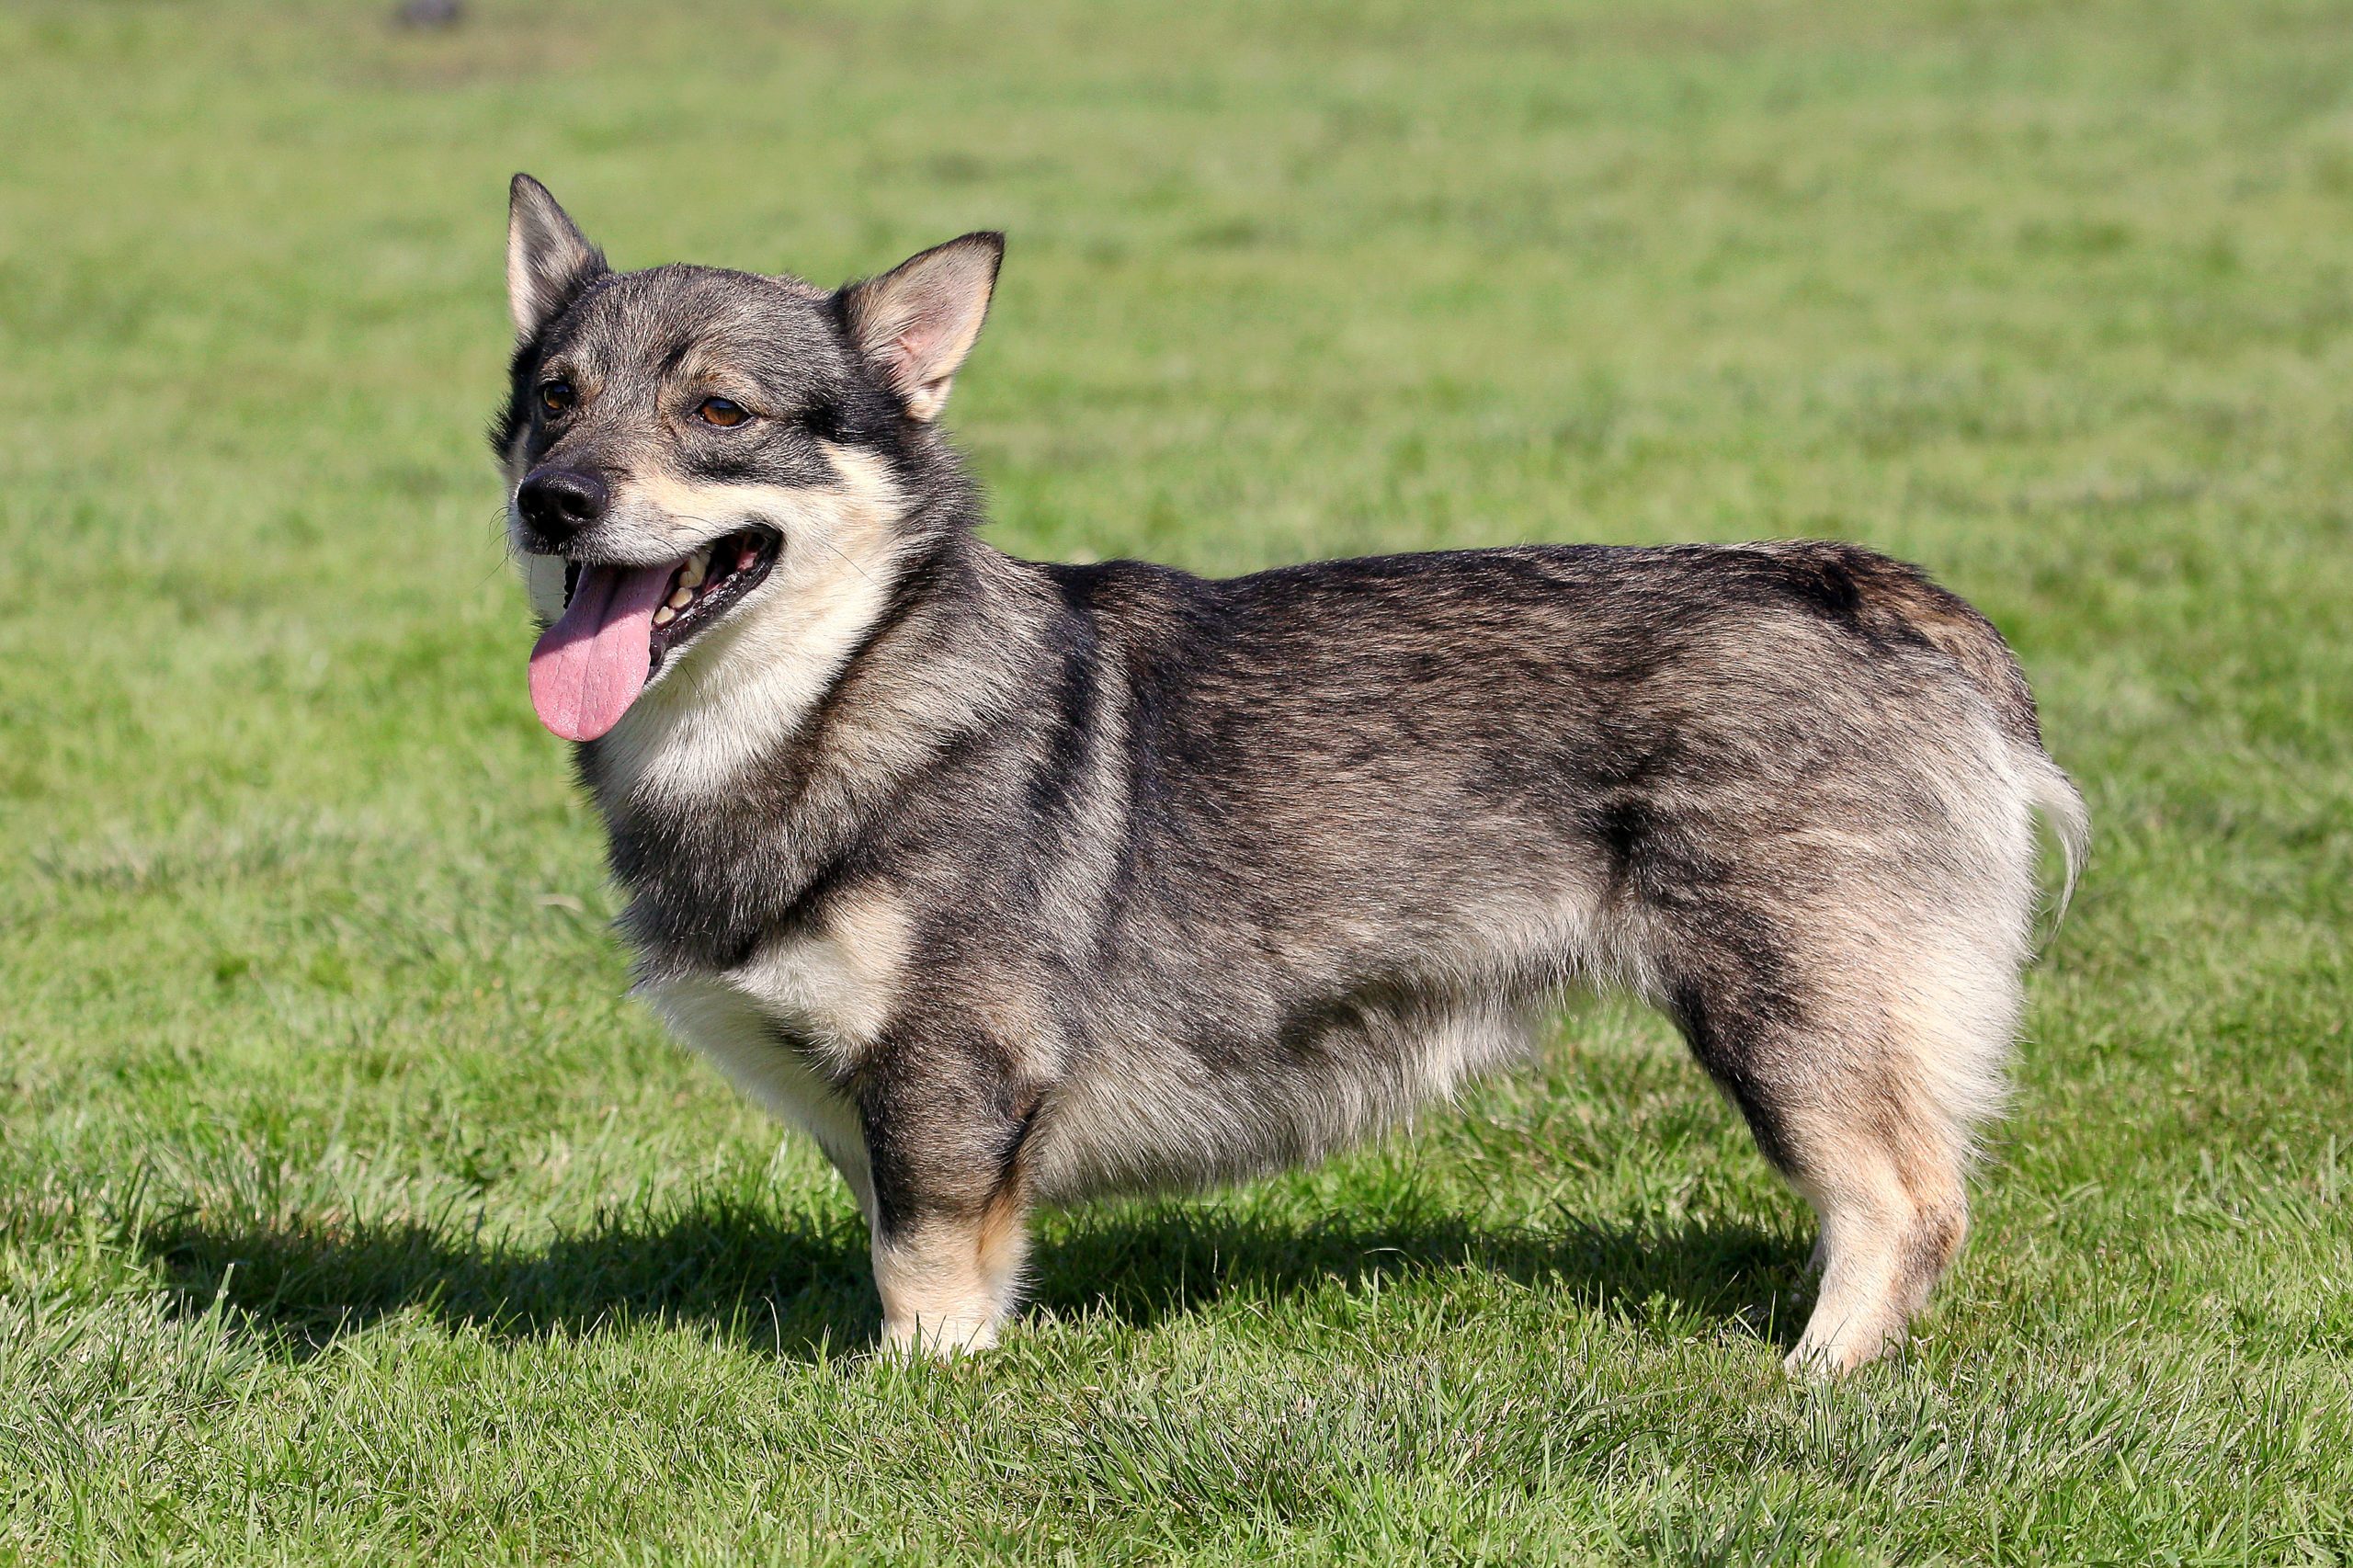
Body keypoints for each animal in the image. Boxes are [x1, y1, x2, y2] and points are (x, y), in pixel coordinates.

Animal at [492, 174, 2080, 1365]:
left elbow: (926, 1279)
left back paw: (1813, 1376)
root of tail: (1865, 591)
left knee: (1904, 1203)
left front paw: (918, 1399)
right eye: (554, 397)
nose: (551, 499)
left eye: (719, 412)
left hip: (1787, 1006)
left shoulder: (950, 1082)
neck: (841, 687)